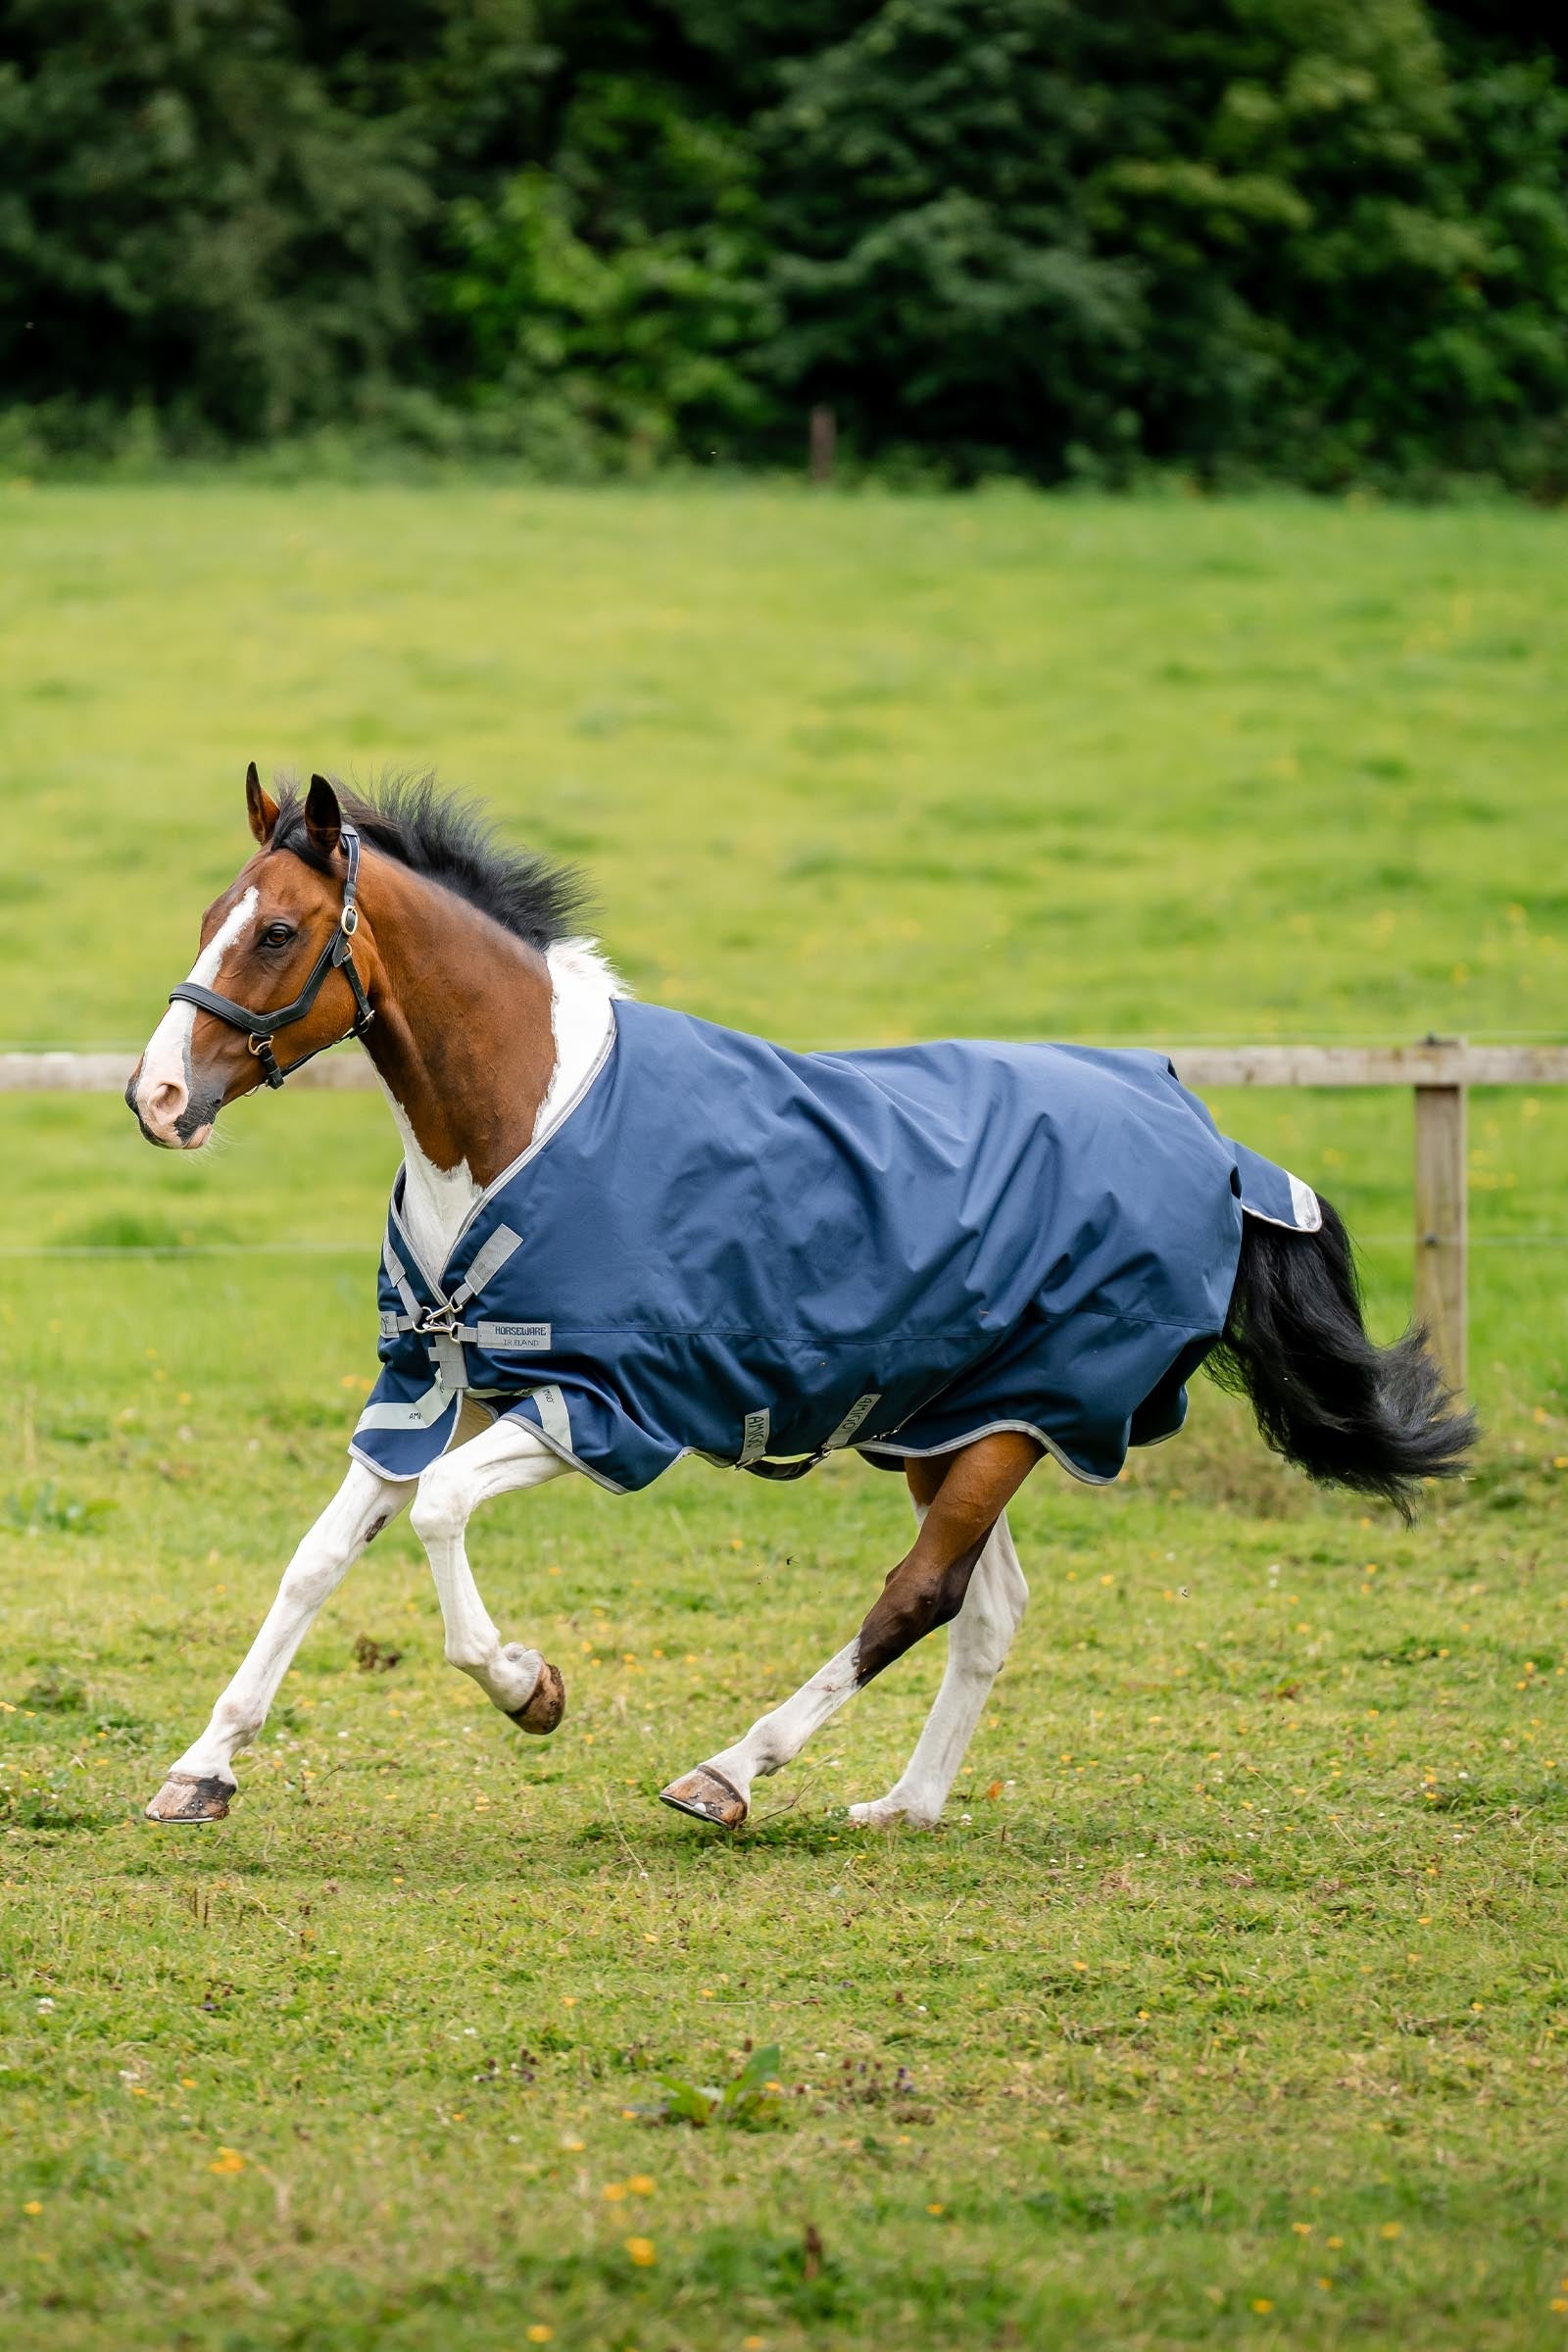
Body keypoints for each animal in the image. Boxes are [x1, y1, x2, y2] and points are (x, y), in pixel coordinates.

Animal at [125, 769, 1475, 1832]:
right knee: (986, 1609)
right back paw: (905, 1805)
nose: (156, 1098)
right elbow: (315, 1559)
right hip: (959, 1424)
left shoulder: (600, 1407)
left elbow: (443, 1514)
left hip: (1027, 1418)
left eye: (277, 932)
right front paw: (201, 1772)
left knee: (919, 1596)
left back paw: (728, 1774)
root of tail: (1221, 1150)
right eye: (205, 919)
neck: (522, 1117)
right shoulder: (428, 1380)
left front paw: (529, 1689)